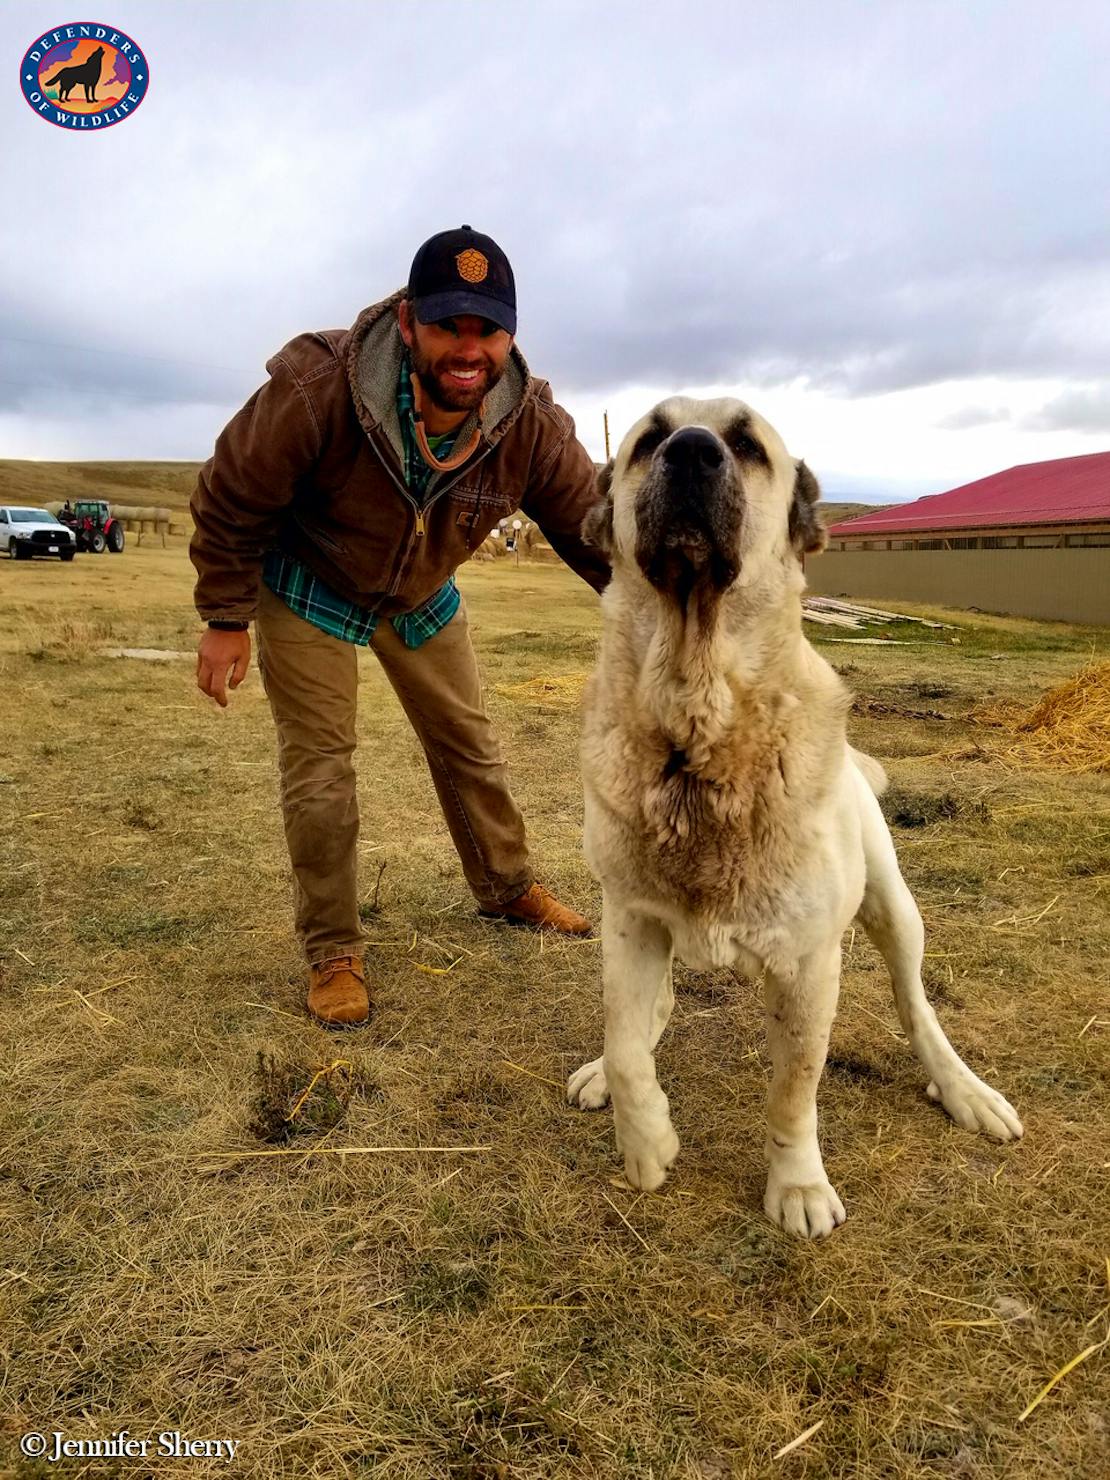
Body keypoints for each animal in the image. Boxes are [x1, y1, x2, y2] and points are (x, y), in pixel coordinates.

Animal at [568, 396, 1024, 1237]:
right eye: (650, 439)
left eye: (747, 445)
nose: (691, 452)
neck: (698, 736)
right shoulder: (630, 920)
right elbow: (624, 1041)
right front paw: (645, 1139)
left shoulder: (810, 965)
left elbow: (793, 1092)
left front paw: (798, 1186)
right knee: (650, 1011)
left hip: (894, 909)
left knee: (917, 1006)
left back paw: (964, 1089)